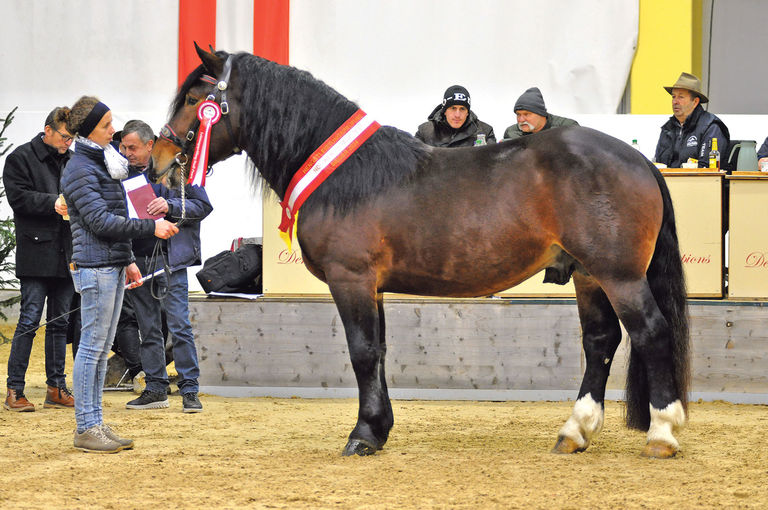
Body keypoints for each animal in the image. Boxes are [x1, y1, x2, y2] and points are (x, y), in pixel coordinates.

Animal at [152, 44, 688, 458]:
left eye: (197, 97)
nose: (159, 158)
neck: (347, 174)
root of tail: (638, 158)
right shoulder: (373, 287)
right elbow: (380, 351)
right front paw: (380, 428)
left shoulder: (352, 279)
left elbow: (363, 352)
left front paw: (363, 435)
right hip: (588, 275)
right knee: (601, 341)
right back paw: (575, 432)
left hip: (619, 275)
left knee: (652, 333)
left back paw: (662, 433)